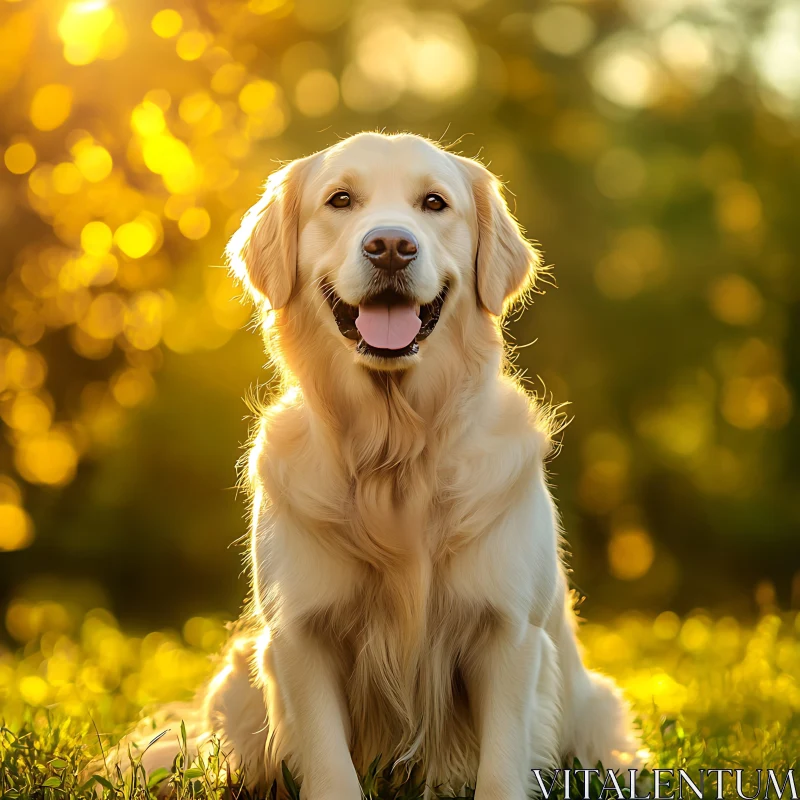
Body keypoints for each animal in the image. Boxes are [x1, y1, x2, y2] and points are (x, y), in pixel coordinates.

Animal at [114, 133, 644, 800]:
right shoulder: (300, 636)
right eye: (340, 199)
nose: (390, 245)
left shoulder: (508, 635)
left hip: (595, 707)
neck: (396, 452)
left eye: (434, 202)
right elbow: (329, 765)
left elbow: (501, 766)